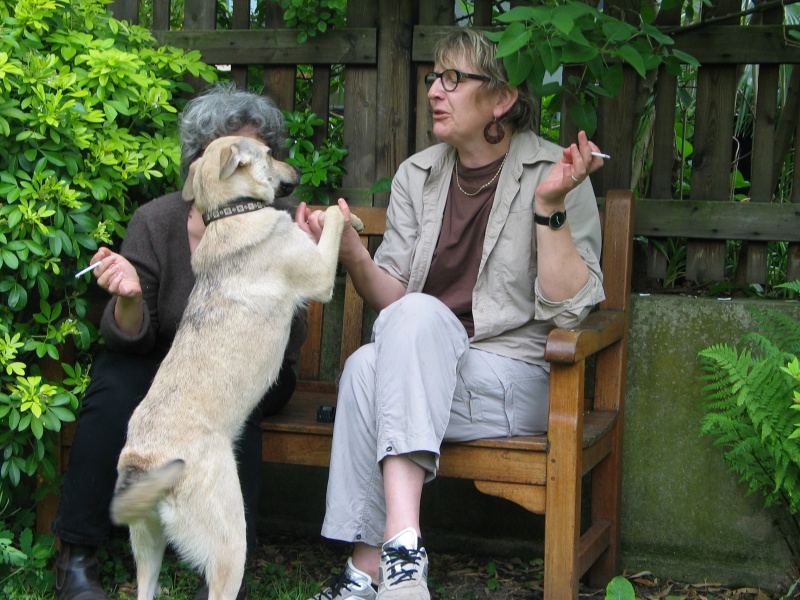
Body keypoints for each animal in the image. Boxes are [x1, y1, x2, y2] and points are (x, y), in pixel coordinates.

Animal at [109, 136, 360, 600]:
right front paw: (340, 212)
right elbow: (334, 218)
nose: (298, 170)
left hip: (147, 549)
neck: (231, 212)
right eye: (270, 154)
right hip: (230, 545)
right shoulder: (319, 274)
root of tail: (145, 461)